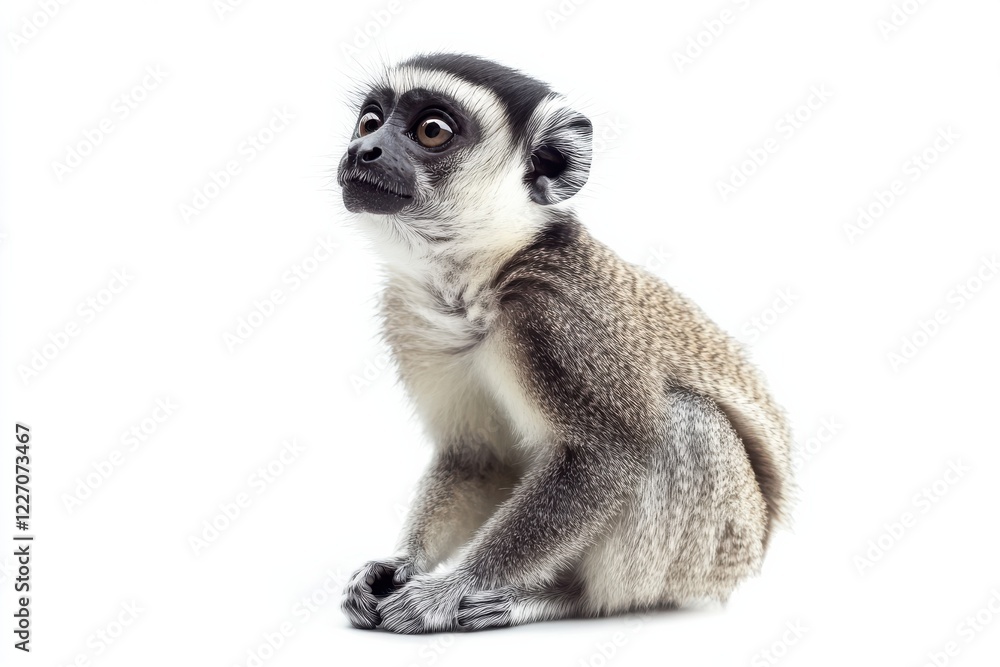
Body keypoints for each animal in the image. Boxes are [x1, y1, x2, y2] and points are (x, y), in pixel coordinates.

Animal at [337, 53, 792, 634]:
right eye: (370, 122)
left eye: (431, 130)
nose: (362, 150)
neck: (479, 280)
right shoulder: (406, 315)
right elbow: (478, 457)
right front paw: (401, 563)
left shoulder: (554, 315)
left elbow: (611, 454)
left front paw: (449, 588)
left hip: (718, 550)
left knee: (686, 425)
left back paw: (561, 598)